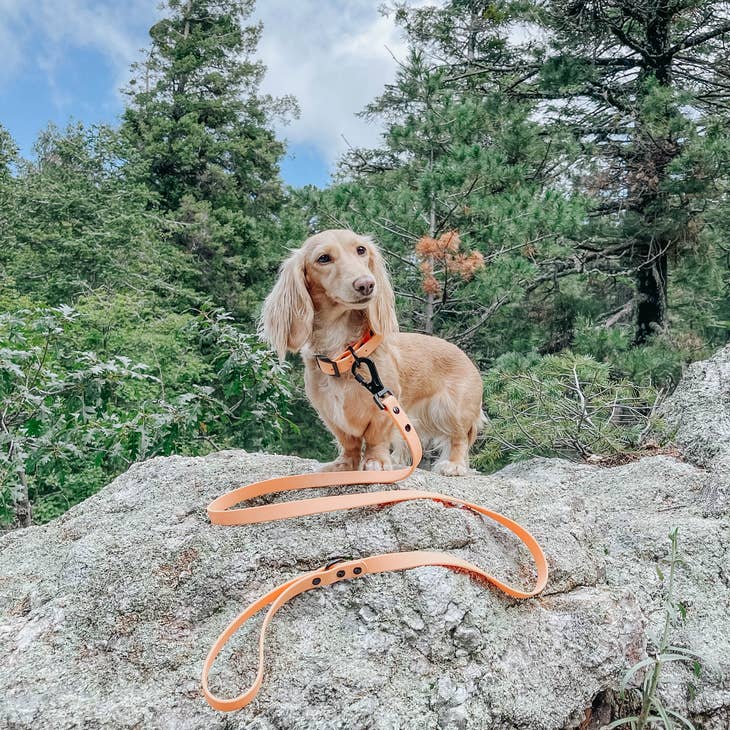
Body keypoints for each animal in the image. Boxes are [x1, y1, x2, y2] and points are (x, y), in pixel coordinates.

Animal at [262, 230, 484, 474]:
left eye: (361, 250)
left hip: (449, 410)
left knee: (459, 438)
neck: (345, 355)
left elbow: (376, 438)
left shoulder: (386, 402)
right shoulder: (330, 413)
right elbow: (348, 442)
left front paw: (376, 461)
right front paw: (344, 464)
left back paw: (453, 464)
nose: (366, 284)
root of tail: (466, 358)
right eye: (323, 258)